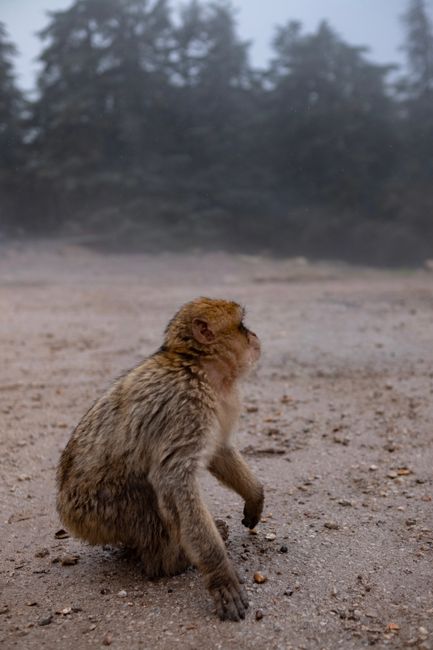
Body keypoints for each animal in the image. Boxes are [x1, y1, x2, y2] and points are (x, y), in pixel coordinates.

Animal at [56, 297, 264, 621]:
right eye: (241, 325)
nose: (254, 336)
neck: (198, 369)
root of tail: (64, 509)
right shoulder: (187, 404)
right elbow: (174, 478)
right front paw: (220, 574)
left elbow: (219, 450)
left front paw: (255, 496)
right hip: (99, 509)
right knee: (149, 497)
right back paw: (171, 562)